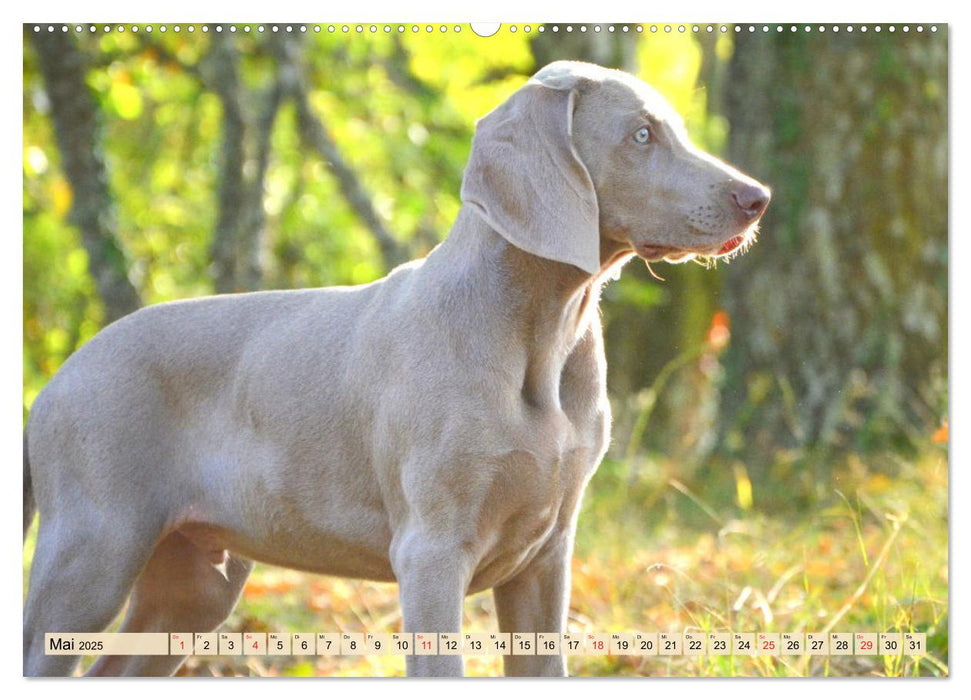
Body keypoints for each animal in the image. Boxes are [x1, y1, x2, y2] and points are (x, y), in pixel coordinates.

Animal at [20, 63, 768, 676]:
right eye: (641, 136)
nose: (756, 197)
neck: (541, 335)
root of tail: (57, 379)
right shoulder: (431, 550)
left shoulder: (546, 556)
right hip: (93, 546)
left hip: (193, 583)